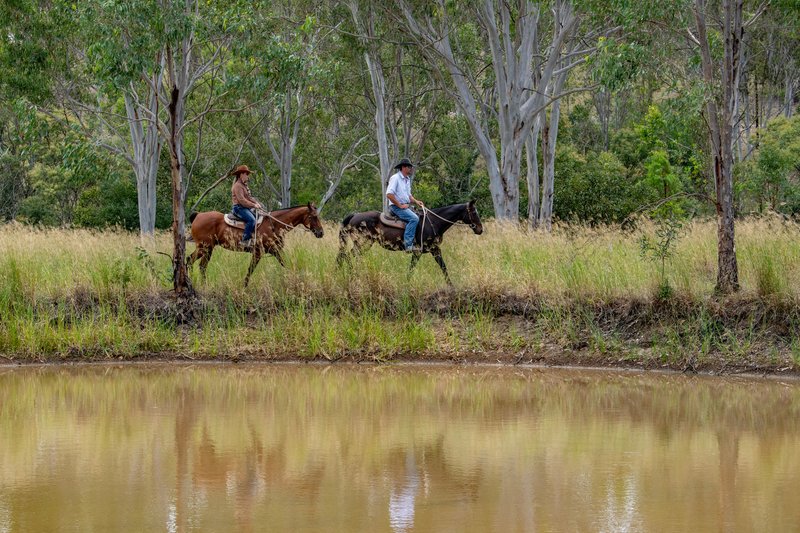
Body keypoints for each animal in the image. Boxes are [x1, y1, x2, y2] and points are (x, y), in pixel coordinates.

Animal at [188, 203, 324, 286]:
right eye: (313, 216)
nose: (321, 233)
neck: (273, 225)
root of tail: (198, 215)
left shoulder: (275, 250)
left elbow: (285, 264)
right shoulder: (258, 252)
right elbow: (250, 270)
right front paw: (244, 287)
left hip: (207, 249)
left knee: (194, 263)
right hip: (204, 248)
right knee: (198, 264)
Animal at [336, 200, 484, 282]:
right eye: (474, 212)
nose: (480, 229)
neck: (433, 222)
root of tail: (354, 216)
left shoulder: (435, 249)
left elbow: (443, 267)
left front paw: (451, 285)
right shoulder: (417, 251)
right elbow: (411, 269)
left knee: (347, 256)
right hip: (363, 243)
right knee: (349, 255)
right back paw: (352, 275)